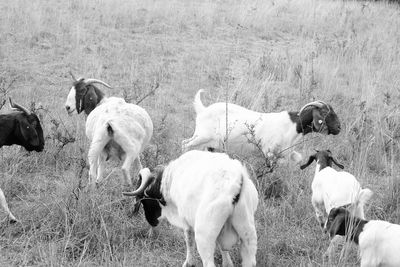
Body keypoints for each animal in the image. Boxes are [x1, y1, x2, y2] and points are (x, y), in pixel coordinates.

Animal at [123, 151, 258, 267]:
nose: (152, 222)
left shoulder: (185, 221)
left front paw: (188, 263)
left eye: (144, 200)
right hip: (248, 233)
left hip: (204, 234)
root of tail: (236, 184)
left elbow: (189, 241)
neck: (169, 180)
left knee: (208, 262)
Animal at [181, 89, 340, 163]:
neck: (292, 126)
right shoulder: (268, 152)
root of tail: (203, 110)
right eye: (325, 112)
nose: (339, 128)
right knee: (185, 144)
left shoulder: (285, 152)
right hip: (202, 136)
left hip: (209, 143)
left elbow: (298, 158)